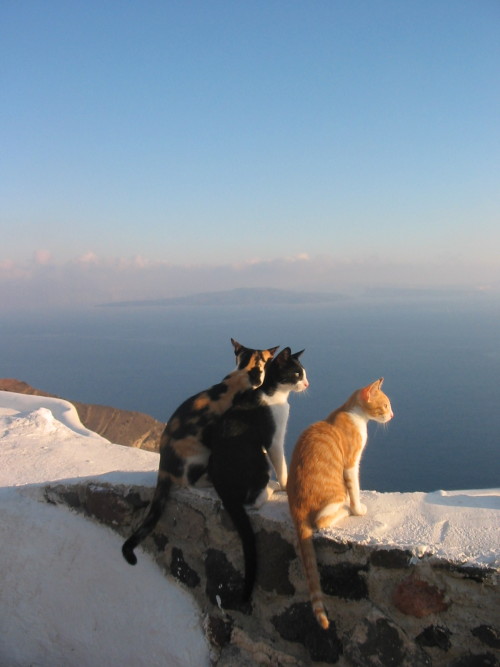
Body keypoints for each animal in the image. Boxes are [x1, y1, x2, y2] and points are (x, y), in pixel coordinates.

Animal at [207, 348, 308, 604]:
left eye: (304, 373)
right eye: (296, 373)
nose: (307, 383)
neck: (274, 396)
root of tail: (223, 485)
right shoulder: (273, 440)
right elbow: (282, 465)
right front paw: (285, 485)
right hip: (257, 460)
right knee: (252, 500)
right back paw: (269, 490)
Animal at [288, 378, 392, 628]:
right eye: (385, 406)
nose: (393, 415)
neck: (352, 413)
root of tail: (296, 508)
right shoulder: (351, 463)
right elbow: (354, 488)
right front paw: (358, 509)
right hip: (333, 497)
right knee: (321, 520)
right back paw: (345, 509)